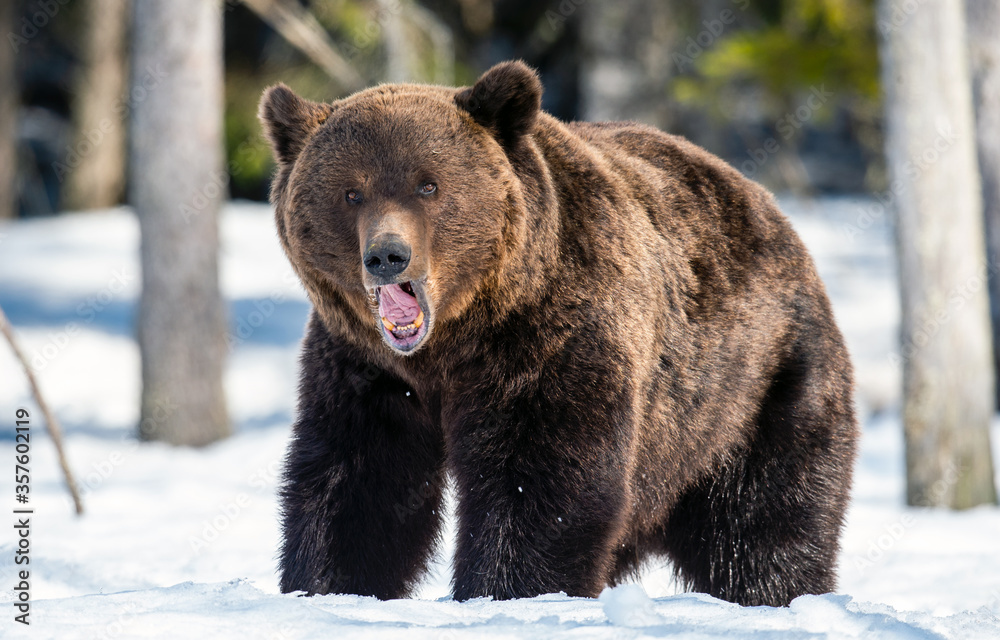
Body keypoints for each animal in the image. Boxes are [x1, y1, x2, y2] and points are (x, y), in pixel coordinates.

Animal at [258, 60, 858, 607]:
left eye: (428, 184)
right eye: (350, 192)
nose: (387, 255)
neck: (451, 345)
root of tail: (768, 205)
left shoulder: (554, 341)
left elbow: (539, 479)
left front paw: (505, 591)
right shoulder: (363, 368)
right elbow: (358, 482)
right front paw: (328, 585)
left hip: (752, 390)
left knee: (760, 524)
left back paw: (775, 592)